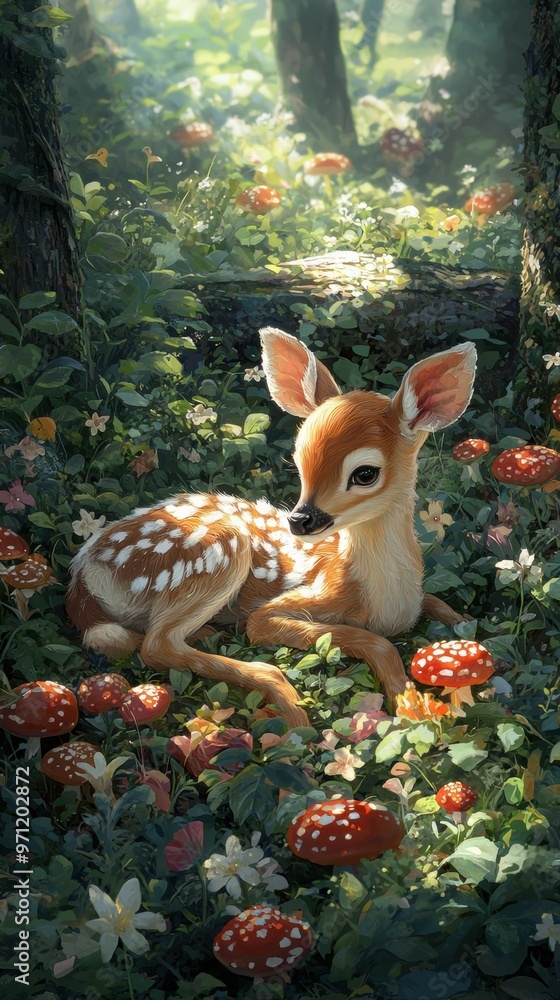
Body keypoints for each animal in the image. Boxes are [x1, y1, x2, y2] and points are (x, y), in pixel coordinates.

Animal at [66, 328, 477, 728]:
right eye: (299, 459)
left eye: (365, 473)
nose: (299, 520)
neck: (386, 602)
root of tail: (83, 568)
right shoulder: (284, 608)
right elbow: (375, 642)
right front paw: (412, 706)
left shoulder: (416, 598)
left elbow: (438, 602)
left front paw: (465, 631)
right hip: (217, 551)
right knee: (156, 645)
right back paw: (291, 709)